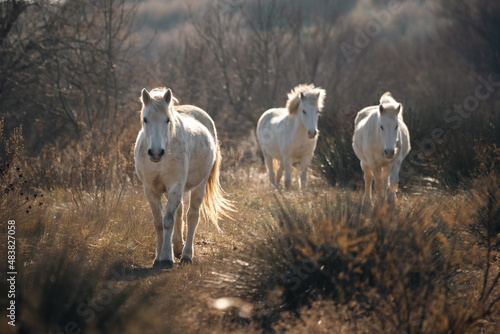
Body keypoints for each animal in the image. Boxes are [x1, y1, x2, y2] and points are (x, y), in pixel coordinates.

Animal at [135, 87, 232, 268]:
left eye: (167, 120)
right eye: (145, 119)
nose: (156, 153)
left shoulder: (175, 186)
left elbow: (168, 220)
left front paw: (166, 257)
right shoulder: (151, 190)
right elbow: (158, 222)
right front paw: (158, 257)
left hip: (200, 185)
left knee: (192, 216)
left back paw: (186, 255)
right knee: (179, 212)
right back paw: (178, 247)